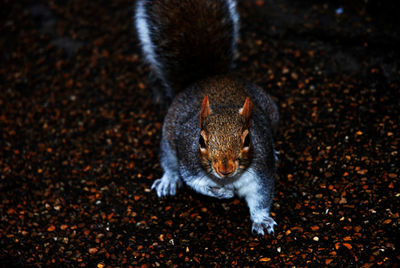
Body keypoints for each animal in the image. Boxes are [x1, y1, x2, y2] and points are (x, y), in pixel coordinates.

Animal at [134, 0, 278, 234]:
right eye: (200, 141)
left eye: (248, 140)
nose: (225, 170)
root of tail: (207, 77)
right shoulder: (190, 163)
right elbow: (197, 184)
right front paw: (222, 192)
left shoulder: (261, 173)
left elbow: (261, 199)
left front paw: (262, 220)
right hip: (168, 139)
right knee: (169, 162)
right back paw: (168, 180)